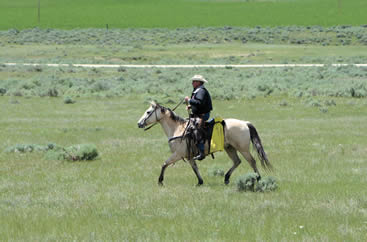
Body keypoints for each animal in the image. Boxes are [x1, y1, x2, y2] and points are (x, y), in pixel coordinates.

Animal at [138, 101, 274, 186]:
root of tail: (245, 123)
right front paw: (200, 182)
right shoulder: (189, 156)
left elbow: (164, 164)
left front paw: (160, 181)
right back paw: (226, 178)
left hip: (243, 149)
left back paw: (258, 178)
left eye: (148, 112)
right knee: (237, 161)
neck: (178, 129)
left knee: (252, 161)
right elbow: (195, 168)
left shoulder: (178, 154)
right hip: (230, 148)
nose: (139, 123)